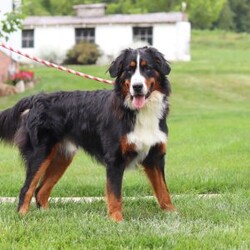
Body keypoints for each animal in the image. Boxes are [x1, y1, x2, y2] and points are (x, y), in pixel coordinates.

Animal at [0, 46, 176, 221]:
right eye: (129, 70)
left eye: (148, 68)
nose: (137, 86)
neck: (140, 111)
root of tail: (37, 98)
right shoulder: (114, 159)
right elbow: (115, 194)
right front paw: (117, 220)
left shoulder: (155, 156)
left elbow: (163, 190)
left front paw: (172, 214)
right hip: (40, 153)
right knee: (27, 189)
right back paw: (22, 216)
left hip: (62, 156)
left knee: (40, 190)